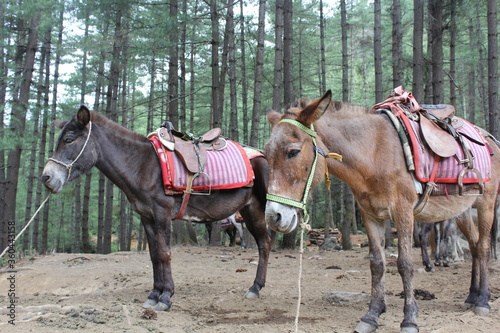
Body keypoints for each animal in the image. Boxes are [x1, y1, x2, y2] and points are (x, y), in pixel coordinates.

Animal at [264, 89, 498, 330]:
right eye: (266, 153)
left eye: (293, 152)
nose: (274, 217)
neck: (375, 153)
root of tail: (488, 138)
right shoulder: (371, 214)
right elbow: (377, 263)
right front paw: (372, 315)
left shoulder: (403, 211)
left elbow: (405, 263)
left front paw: (409, 319)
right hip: (463, 212)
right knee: (473, 246)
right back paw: (472, 295)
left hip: (486, 205)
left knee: (483, 247)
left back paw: (482, 300)